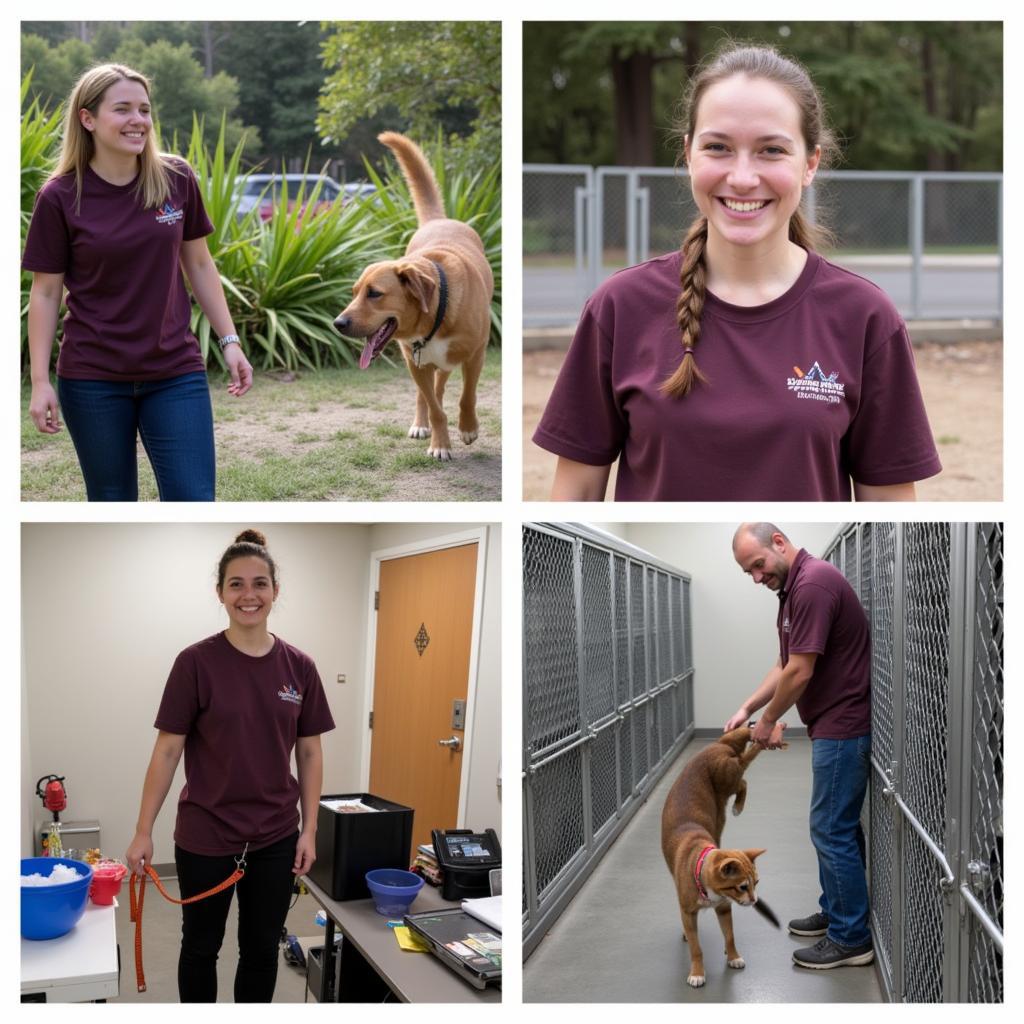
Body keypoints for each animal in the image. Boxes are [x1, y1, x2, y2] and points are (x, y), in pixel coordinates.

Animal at [333, 132, 493, 460]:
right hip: (422, 363)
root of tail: (437, 221)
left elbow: (467, 395)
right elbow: (433, 406)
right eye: (354, 293)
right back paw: (422, 424)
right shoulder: (414, 360)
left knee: (443, 387)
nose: (337, 323)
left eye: (374, 293)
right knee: (428, 395)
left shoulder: (476, 353)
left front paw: (468, 428)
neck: (437, 313)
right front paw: (440, 443)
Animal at [659, 724, 770, 987]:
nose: (755, 901)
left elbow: (729, 936)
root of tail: (719, 745)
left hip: (727, 778)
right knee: (743, 771)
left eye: (757, 882)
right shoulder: (689, 913)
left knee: (743, 778)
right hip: (727, 773)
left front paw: (733, 956)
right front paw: (698, 972)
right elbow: (696, 947)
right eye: (742, 887)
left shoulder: (724, 908)